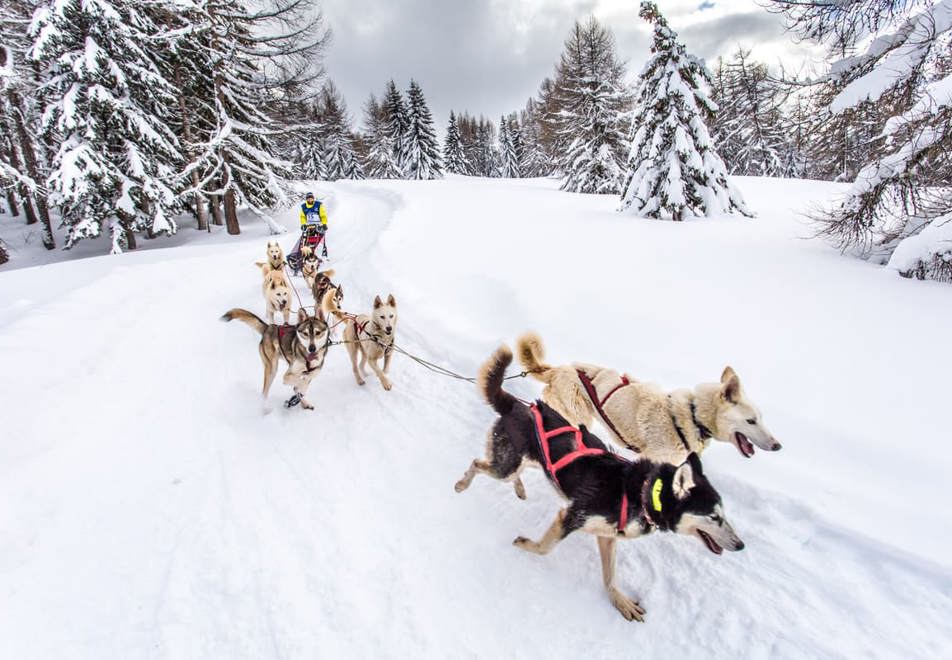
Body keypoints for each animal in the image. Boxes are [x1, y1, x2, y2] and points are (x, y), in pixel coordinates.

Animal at [454, 346, 744, 624]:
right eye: (714, 516)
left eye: (724, 514)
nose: (741, 545)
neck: (642, 492)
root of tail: (517, 405)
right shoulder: (570, 517)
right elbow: (545, 548)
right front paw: (525, 545)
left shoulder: (607, 536)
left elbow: (610, 576)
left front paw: (620, 601)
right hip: (506, 465)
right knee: (478, 464)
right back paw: (462, 484)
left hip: (529, 462)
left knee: (511, 471)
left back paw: (520, 489)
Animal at [520, 336, 780, 464]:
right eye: (751, 421)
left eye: (761, 418)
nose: (778, 446)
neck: (692, 416)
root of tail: (558, 370)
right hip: (574, 415)